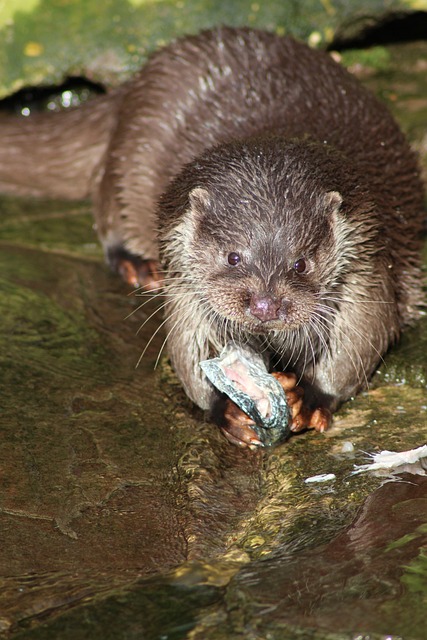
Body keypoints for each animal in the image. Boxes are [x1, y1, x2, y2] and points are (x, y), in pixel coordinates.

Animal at [0, 26, 426, 444]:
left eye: (301, 264)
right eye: (233, 257)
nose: (265, 306)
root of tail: (138, 78)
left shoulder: (367, 256)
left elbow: (363, 335)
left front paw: (310, 396)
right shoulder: (181, 270)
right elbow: (186, 343)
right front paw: (225, 408)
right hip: (131, 149)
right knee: (107, 202)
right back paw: (137, 265)